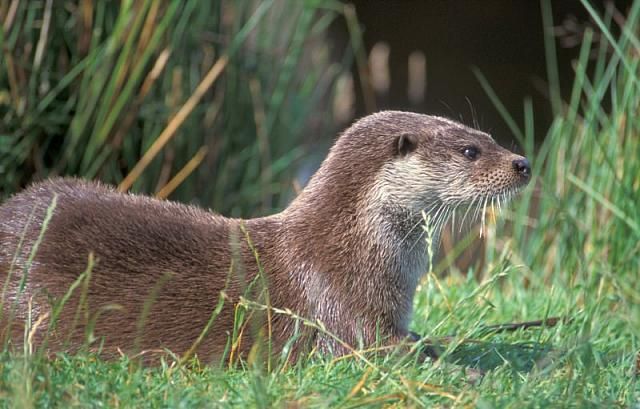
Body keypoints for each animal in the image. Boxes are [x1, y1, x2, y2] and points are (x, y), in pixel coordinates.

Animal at [0, 111, 528, 360]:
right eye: (470, 150)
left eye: (489, 137)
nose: (522, 163)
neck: (352, 248)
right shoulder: (342, 311)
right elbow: (386, 348)